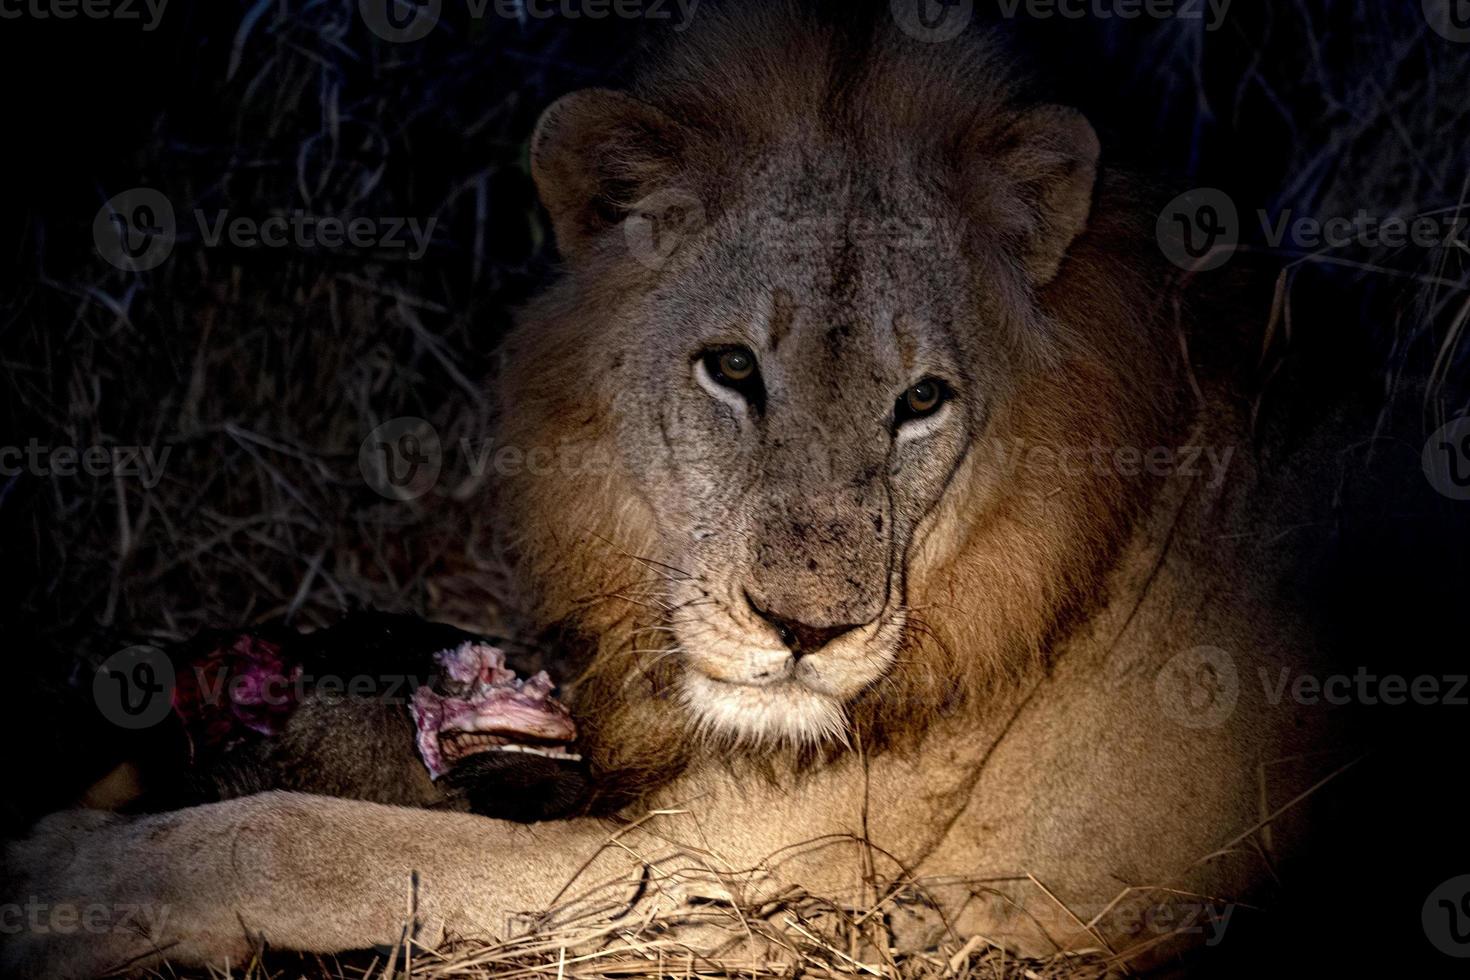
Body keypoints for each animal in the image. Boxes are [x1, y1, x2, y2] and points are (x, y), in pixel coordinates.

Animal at [2, 3, 1352, 975]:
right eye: (733, 368)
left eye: (922, 398)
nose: (806, 631)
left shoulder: (724, 878)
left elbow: (322, 839)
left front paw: (70, 880)